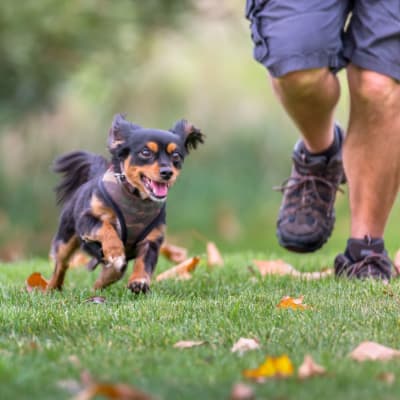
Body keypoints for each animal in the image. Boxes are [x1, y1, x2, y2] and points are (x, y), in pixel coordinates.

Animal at [47, 113, 203, 294]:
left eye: (176, 156)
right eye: (145, 152)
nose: (167, 172)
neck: (136, 198)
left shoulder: (152, 239)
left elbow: (144, 262)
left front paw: (138, 281)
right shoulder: (86, 220)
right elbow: (105, 227)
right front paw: (115, 250)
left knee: (113, 271)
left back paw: (101, 283)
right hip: (65, 240)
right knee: (61, 264)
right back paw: (52, 288)